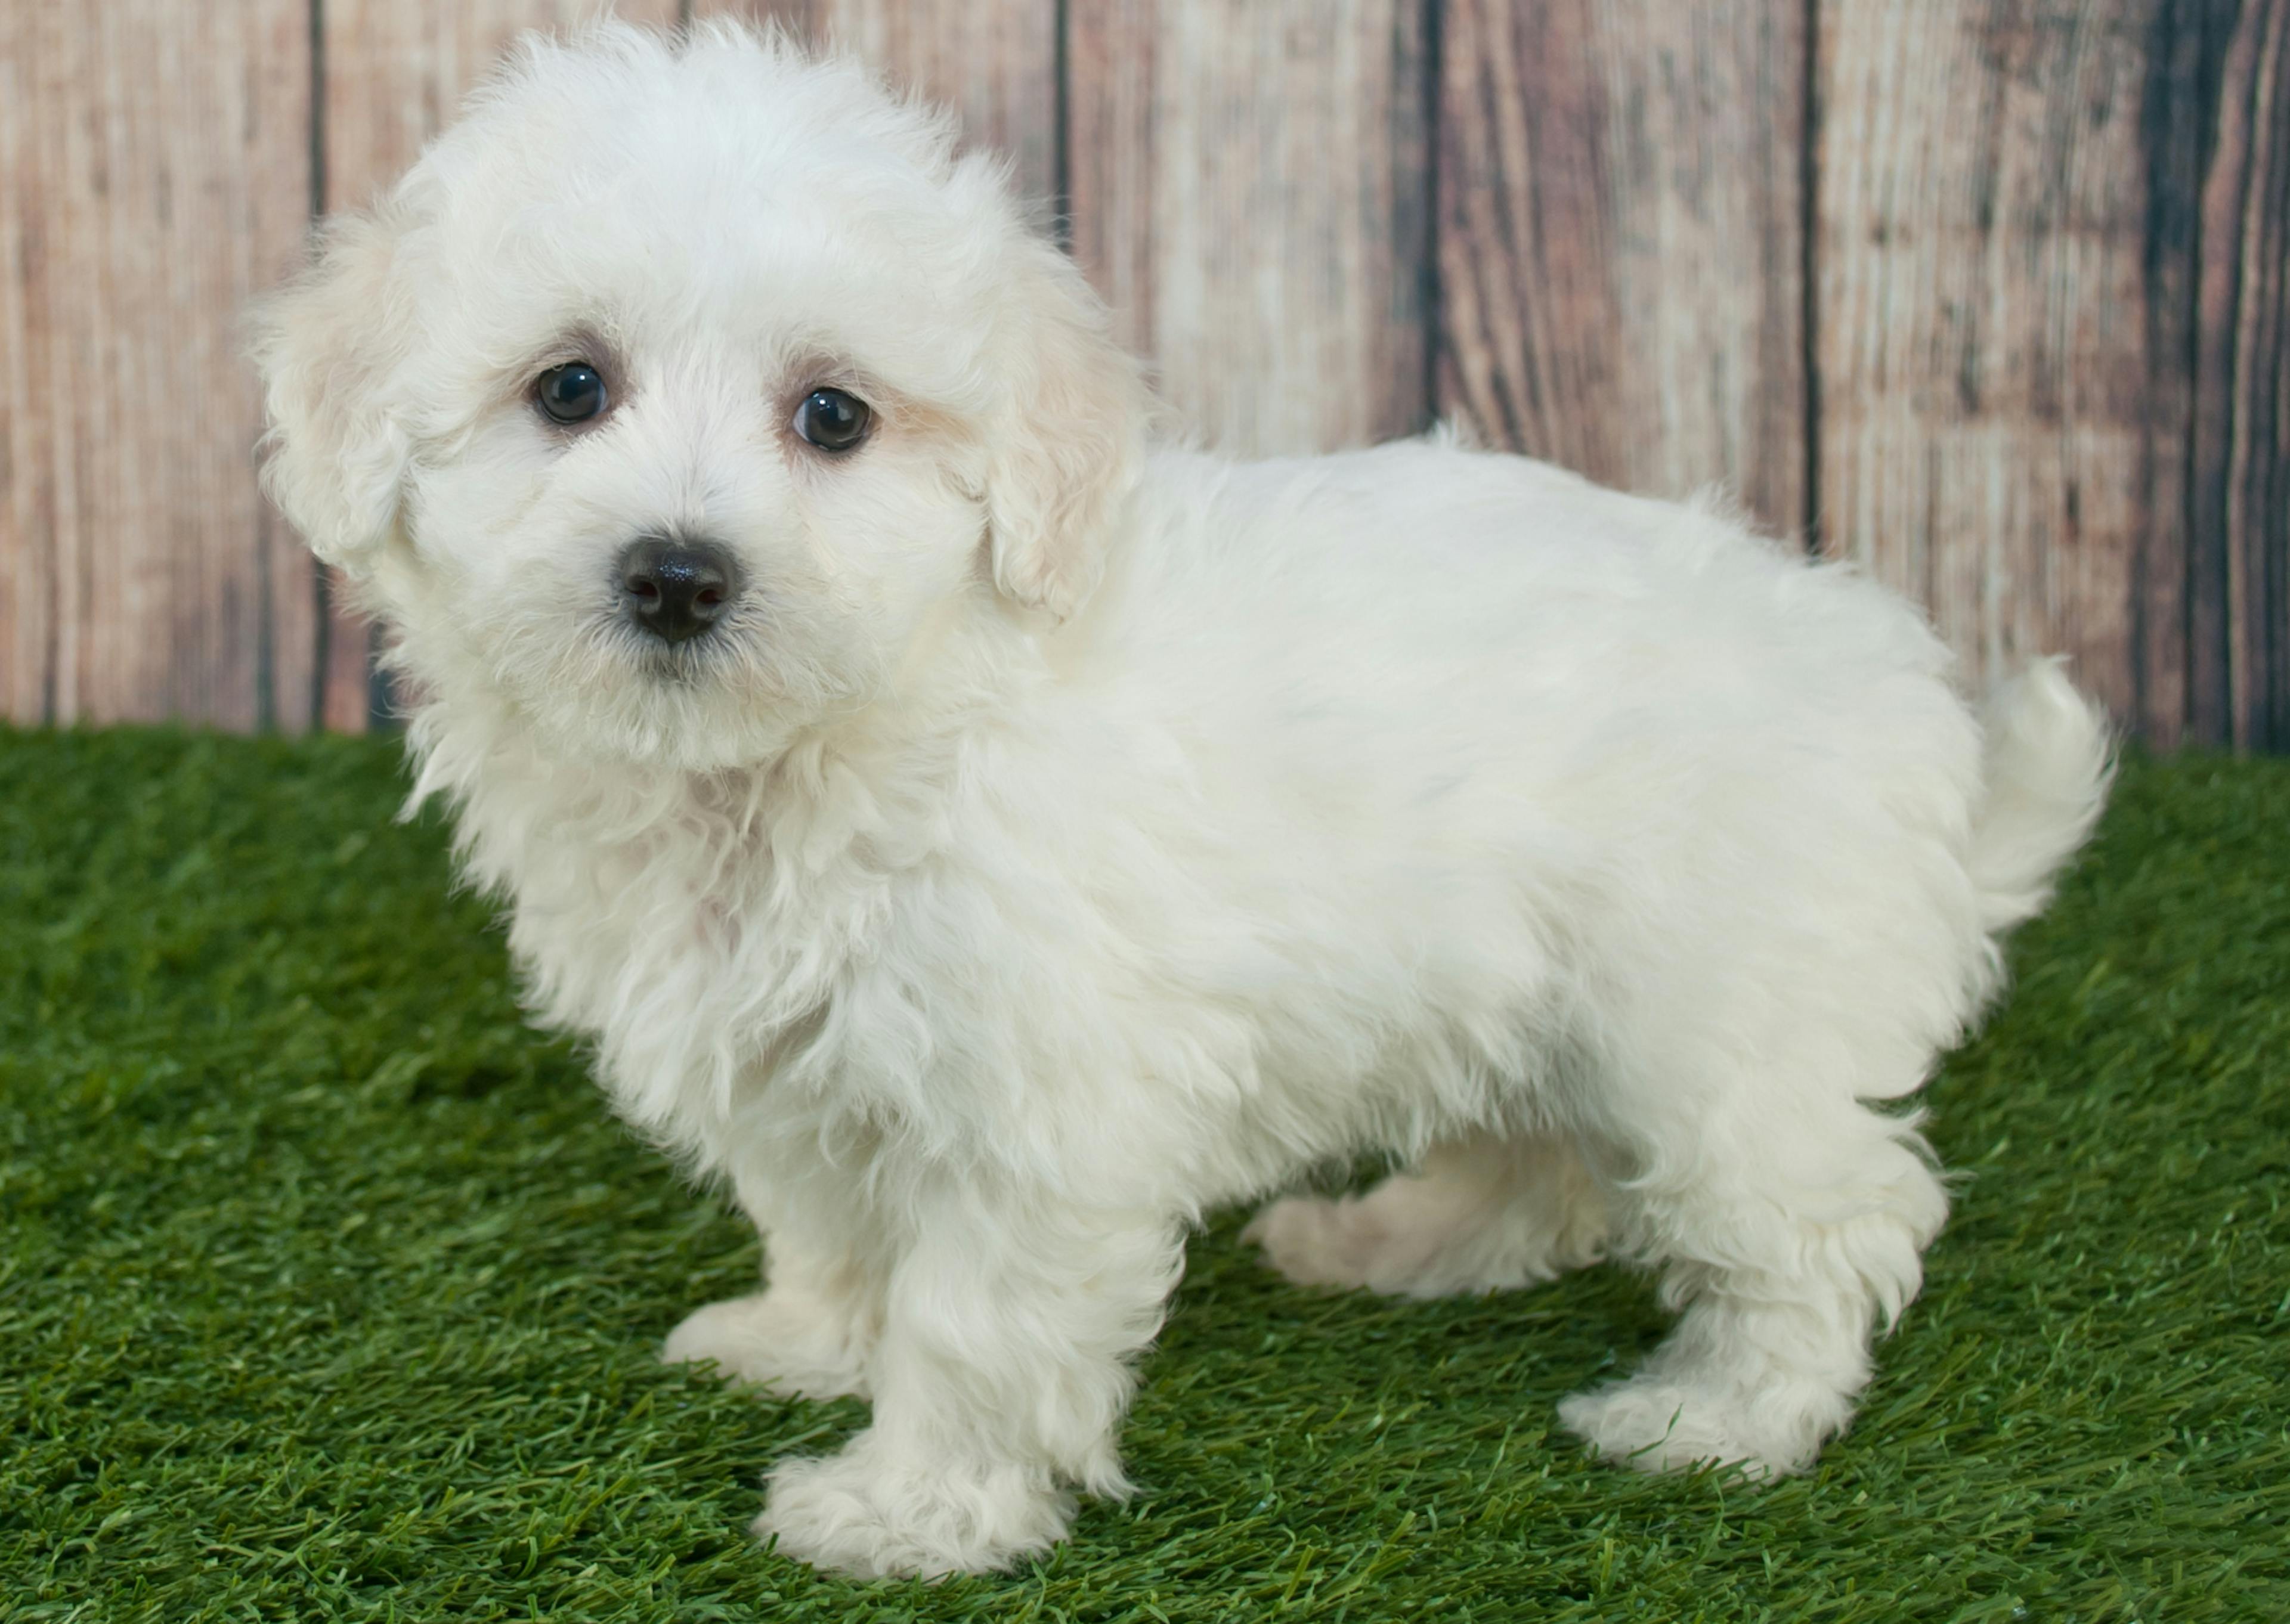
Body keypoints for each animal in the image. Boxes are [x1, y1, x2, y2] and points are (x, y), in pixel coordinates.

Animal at [250, 22, 2106, 1566]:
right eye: (569, 387)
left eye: (833, 416)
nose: (679, 573)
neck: (838, 739)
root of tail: (1914, 719)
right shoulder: (800, 1063)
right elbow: (837, 1225)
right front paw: (806, 1341)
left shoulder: (1029, 1103)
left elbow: (971, 1318)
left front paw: (913, 1511)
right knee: (1546, 1164)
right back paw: (1392, 1243)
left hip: (1717, 1022)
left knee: (1823, 1215)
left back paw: (1718, 1415)